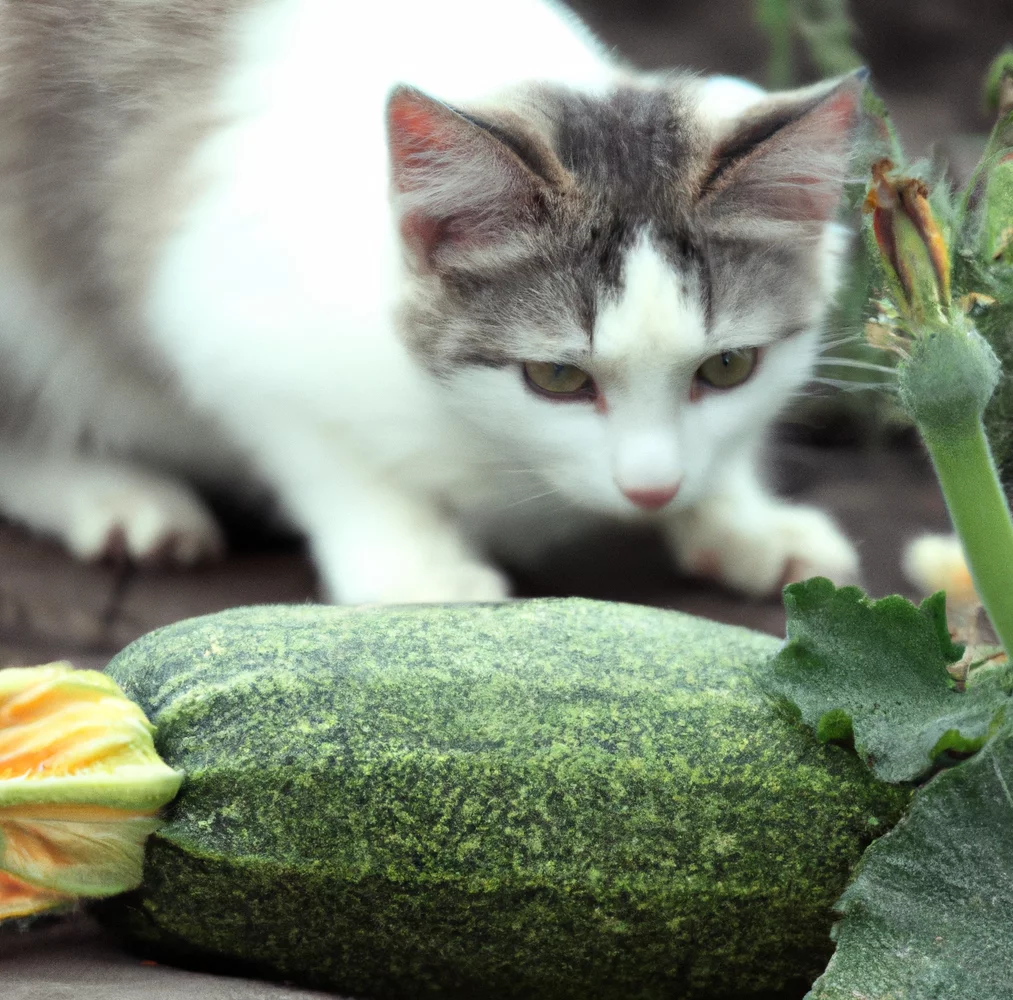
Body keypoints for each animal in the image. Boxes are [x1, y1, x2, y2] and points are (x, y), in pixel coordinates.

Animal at [0, 0, 863, 603]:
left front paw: (738, 516)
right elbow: (331, 458)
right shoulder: (222, 322)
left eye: (727, 368)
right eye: (556, 379)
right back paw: (117, 494)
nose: (651, 490)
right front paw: (417, 571)